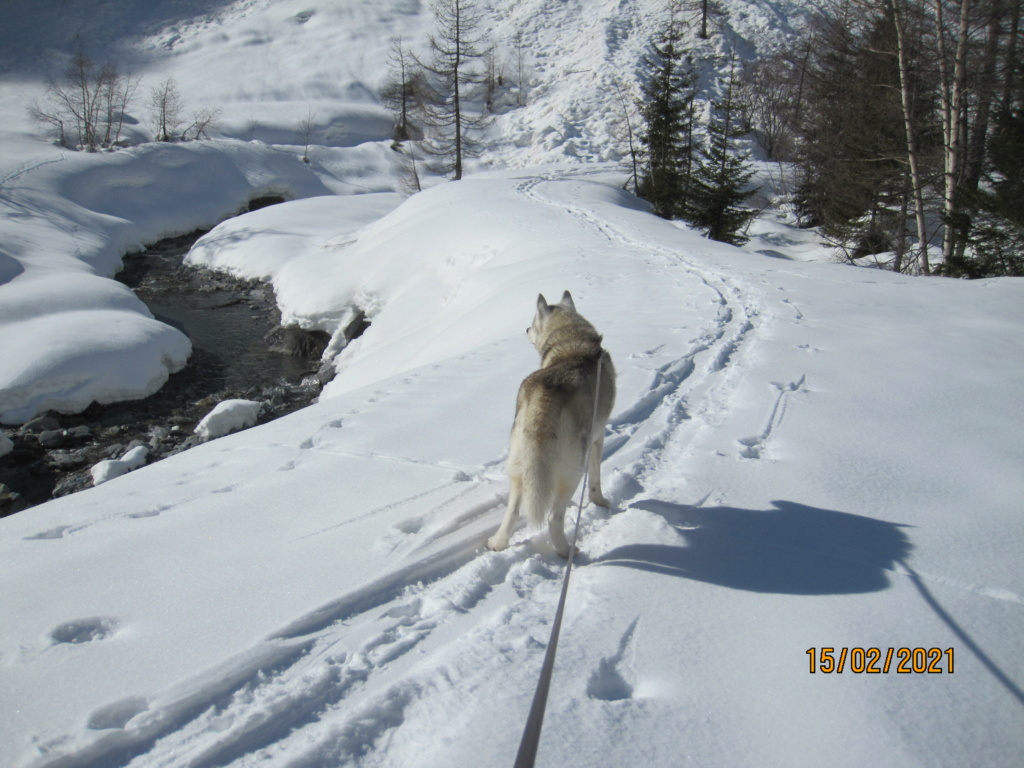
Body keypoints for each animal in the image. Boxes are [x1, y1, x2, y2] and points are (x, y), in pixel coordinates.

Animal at [487, 290, 614, 561]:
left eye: (532, 323)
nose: (525, 329)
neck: (572, 340)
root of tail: (545, 390)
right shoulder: (598, 437)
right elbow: (596, 480)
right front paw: (600, 502)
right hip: (572, 468)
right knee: (554, 517)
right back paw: (566, 551)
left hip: (519, 463)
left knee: (513, 511)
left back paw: (498, 543)